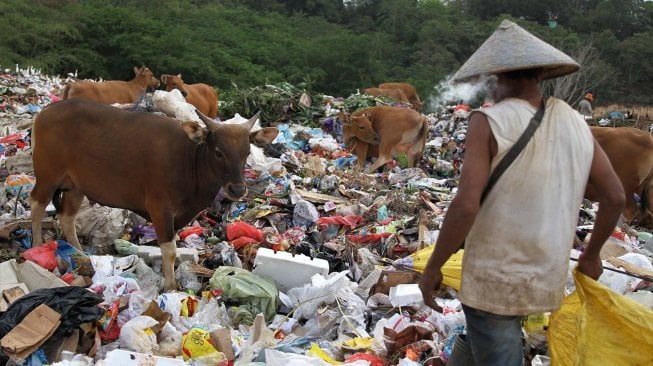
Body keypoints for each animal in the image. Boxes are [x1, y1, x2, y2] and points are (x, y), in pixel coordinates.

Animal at [29, 98, 278, 290]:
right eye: (218, 152)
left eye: (246, 153)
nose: (237, 189)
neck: (189, 160)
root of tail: (45, 112)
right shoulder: (160, 209)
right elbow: (169, 251)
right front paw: (170, 285)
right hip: (48, 176)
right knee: (37, 205)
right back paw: (37, 246)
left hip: (75, 187)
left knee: (67, 218)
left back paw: (80, 253)